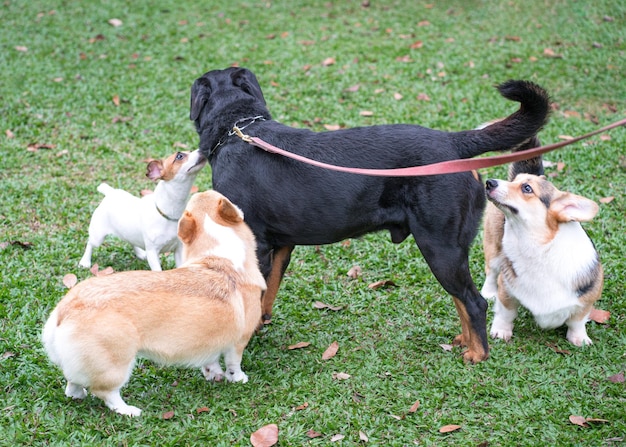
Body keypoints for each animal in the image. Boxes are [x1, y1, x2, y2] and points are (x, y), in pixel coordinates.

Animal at [43, 189, 264, 416]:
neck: (220, 254)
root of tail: (65, 308)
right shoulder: (239, 340)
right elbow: (233, 363)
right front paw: (238, 378)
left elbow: (211, 361)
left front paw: (213, 374)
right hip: (117, 364)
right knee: (106, 393)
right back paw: (129, 410)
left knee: (73, 382)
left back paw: (78, 395)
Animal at [77, 150, 205, 272]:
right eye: (179, 156)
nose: (203, 150)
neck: (168, 214)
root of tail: (110, 193)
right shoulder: (152, 253)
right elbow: (158, 271)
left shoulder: (178, 249)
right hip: (97, 236)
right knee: (90, 243)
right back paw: (85, 261)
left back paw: (140, 253)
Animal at [189, 67, 544, 364]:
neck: (236, 129)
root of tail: (453, 143)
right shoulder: (280, 246)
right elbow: (267, 292)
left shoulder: (254, 244)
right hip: (447, 250)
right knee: (463, 299)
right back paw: (465, 340)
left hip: (440, 246)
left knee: (475, 301)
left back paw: (477, 353)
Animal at [480, 174, 604, 346]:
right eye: (515, 181)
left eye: (527, 188)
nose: (489, 182)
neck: (539, 248)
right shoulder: (506, 290)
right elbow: (506, 313)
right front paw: (501, 331)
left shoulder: (586, 300)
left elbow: (577, 322)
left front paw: (579, 339)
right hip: (494, 249)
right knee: (491, 272)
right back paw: (488, 292)